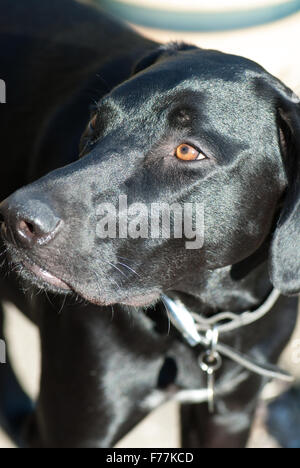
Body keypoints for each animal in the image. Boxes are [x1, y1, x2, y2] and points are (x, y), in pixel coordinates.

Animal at [0, 0, 300, 448]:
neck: (206, 316)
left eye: (187, 151)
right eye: (95, 123)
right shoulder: (79, 420)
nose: (15, 219)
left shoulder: (231, 413)